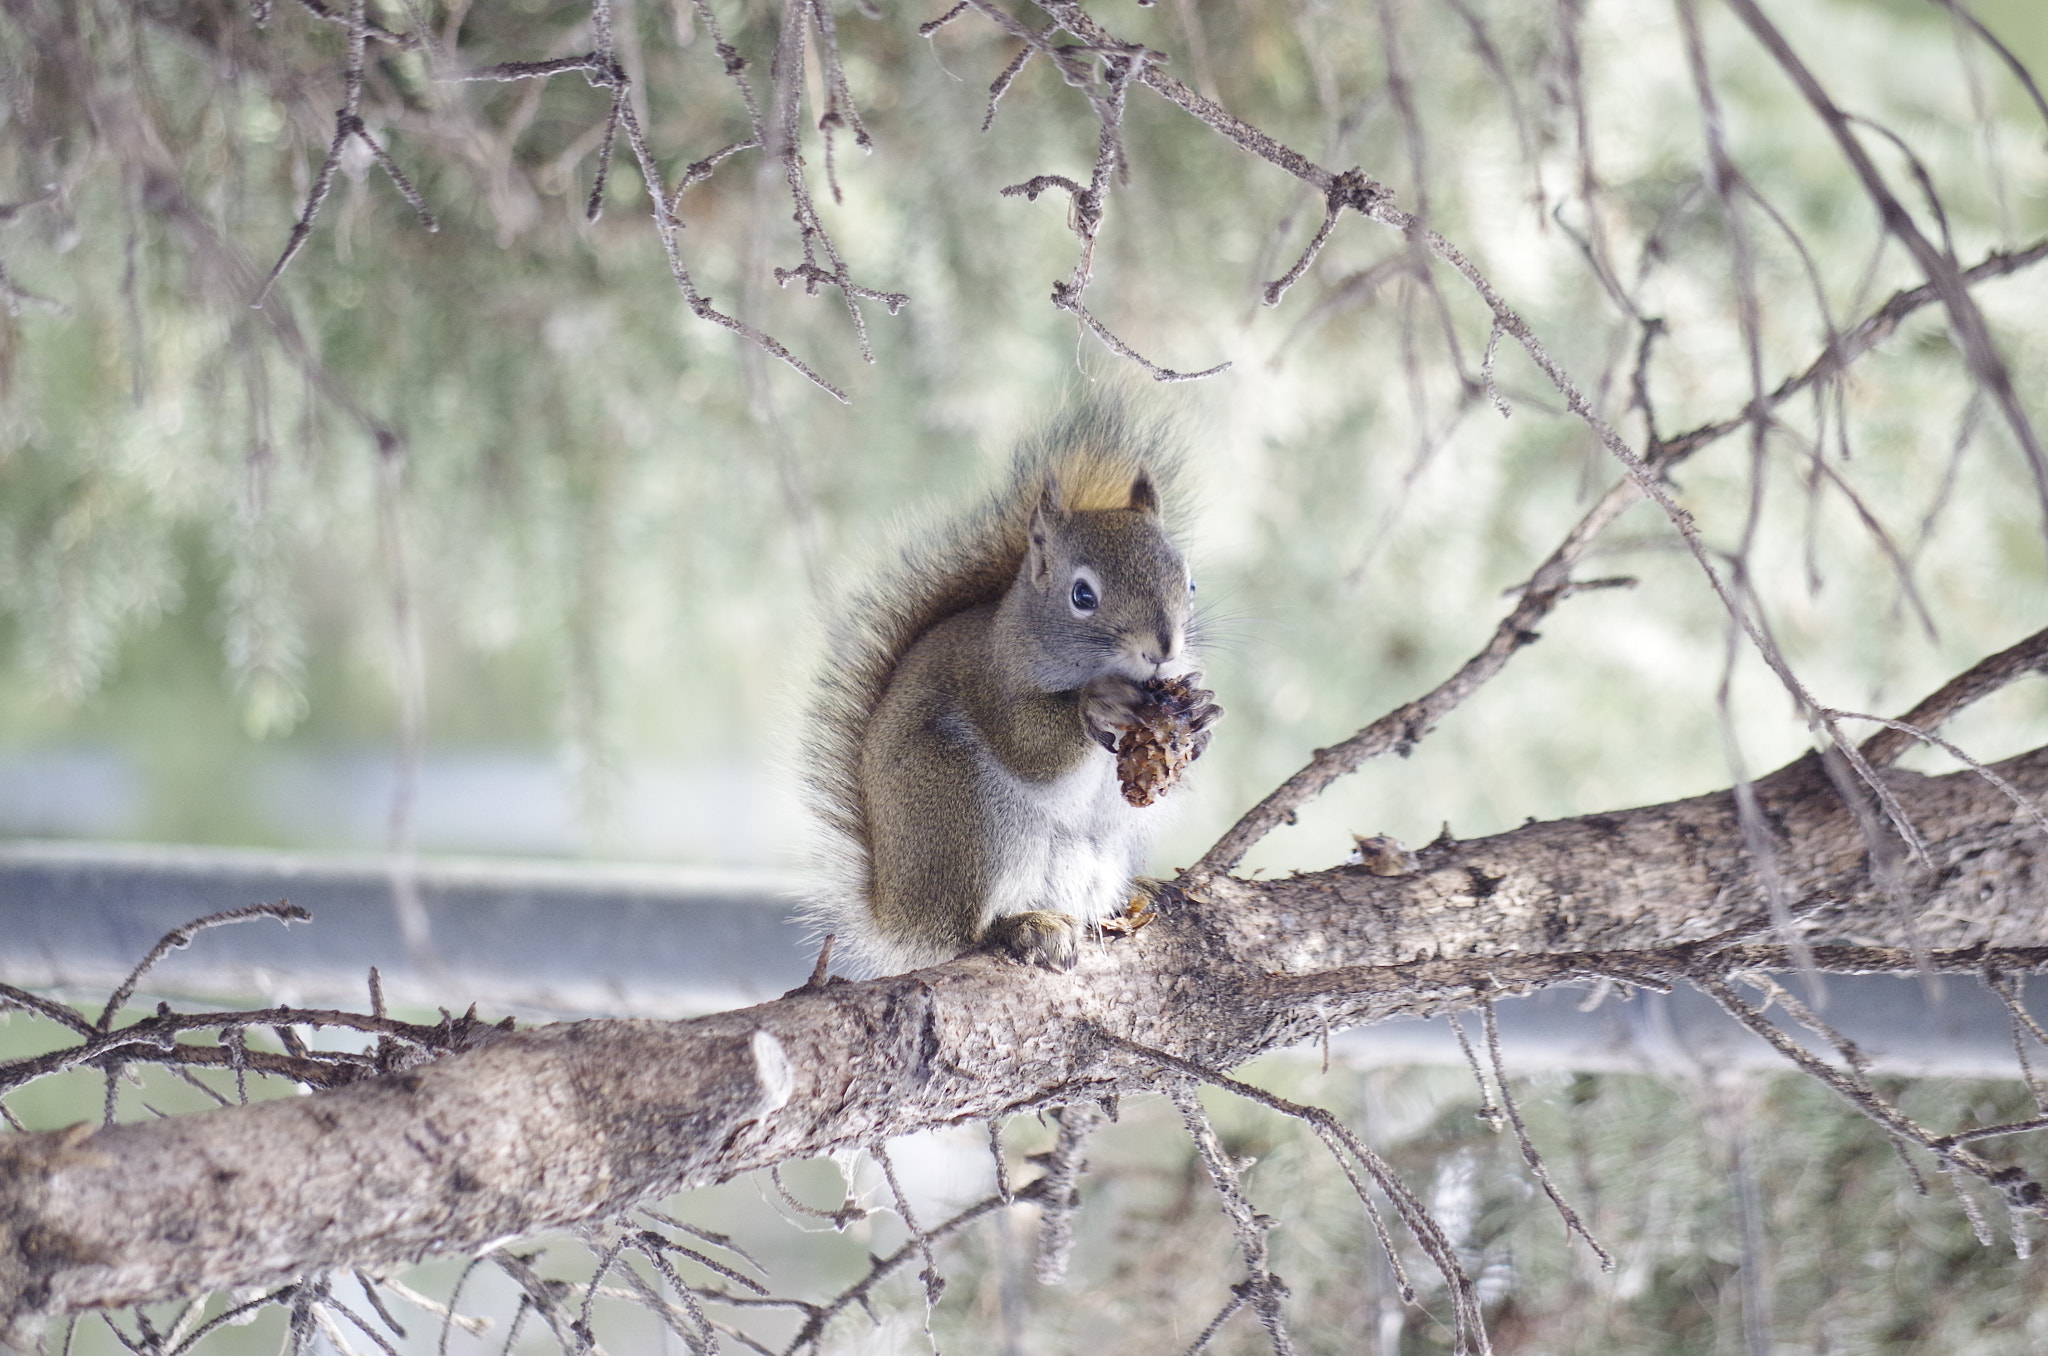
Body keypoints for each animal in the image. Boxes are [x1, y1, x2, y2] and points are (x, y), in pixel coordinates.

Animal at [798, 403, 1212, 979]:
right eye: (1082, 595)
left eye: (1190, 583)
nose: (1164, 648)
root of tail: (899, 912)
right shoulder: (992, 681)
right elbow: (1028, 746)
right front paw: (1100, 700)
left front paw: (1201, 716)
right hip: (971, 819)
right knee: (970, 930)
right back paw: (1026, 925)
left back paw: (1139, 893)